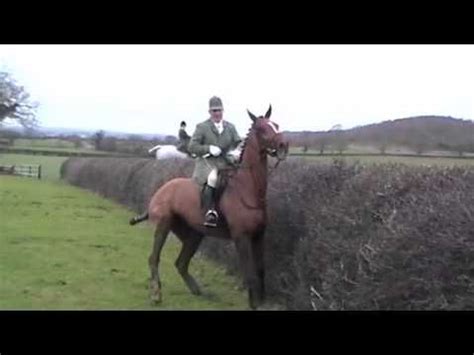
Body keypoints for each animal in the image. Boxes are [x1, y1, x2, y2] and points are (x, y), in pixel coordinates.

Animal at [131, 105, 290, 308]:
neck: (248, 189)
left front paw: (261, 301)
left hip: (194, 233)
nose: (283, 145)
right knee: (154, 258)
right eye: (262, 129)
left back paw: (199, 291)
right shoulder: (241, 237)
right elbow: (250, 274)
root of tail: (162, 189)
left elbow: (261, 270)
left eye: (276, 124)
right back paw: (156, 294)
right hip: (163, 226)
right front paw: (253, 303)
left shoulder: (258, 236)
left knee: (181, 262)